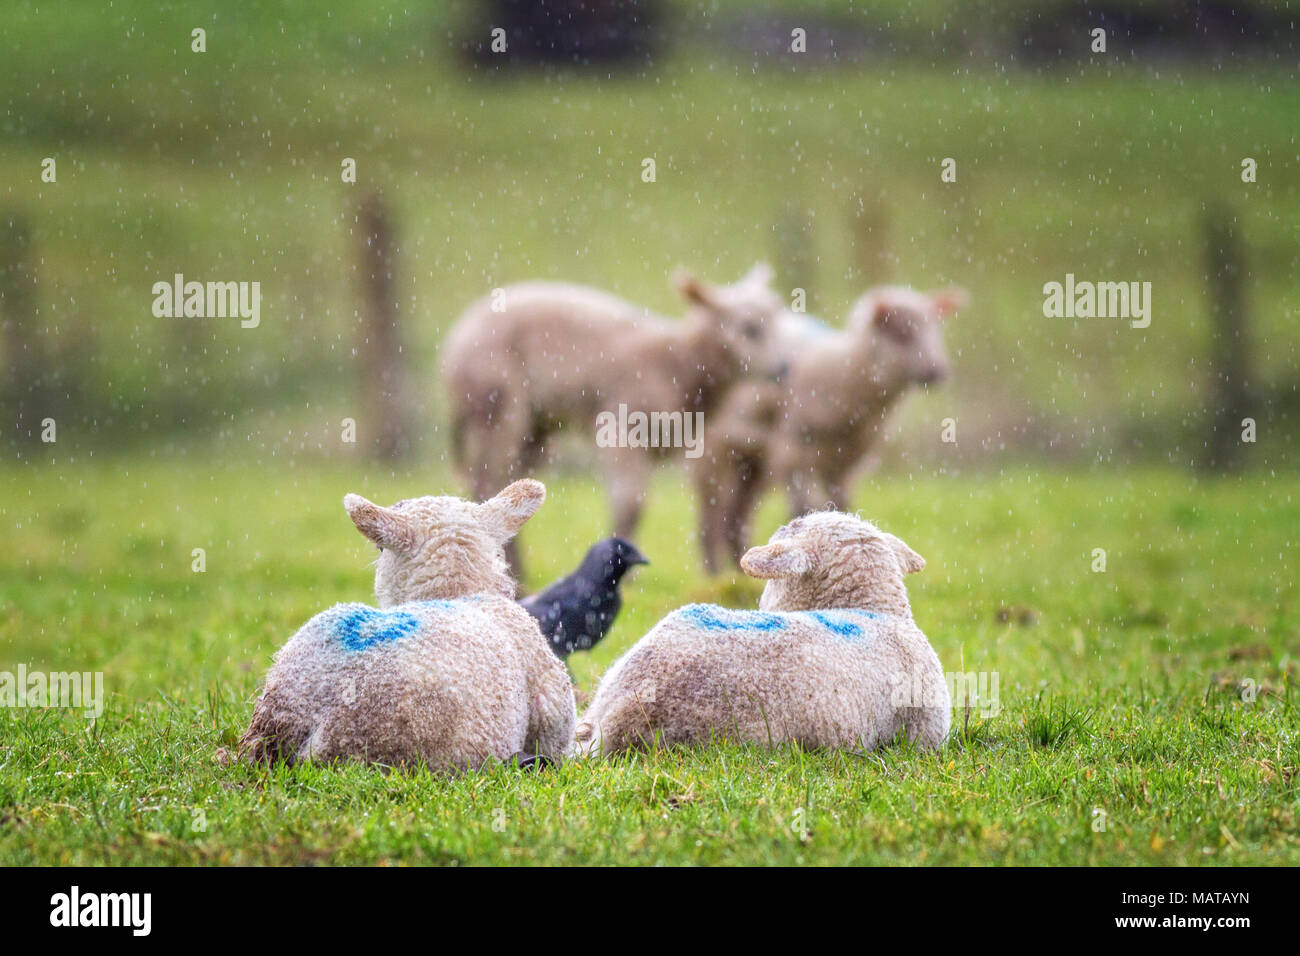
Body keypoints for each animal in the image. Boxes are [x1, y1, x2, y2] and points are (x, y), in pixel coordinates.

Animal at [441, 265, 785, 572]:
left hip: (534, 426)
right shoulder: (622, 422)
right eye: (749, 328)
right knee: (488, 479)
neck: (678, 363)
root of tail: (456, 340)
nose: (782, 368)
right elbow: (630, 503)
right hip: (496, 401)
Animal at [691, 282, 967, 567]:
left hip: (753, 461)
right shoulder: (794, 449)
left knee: (736, 514)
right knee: (710, 518)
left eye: (936, 329)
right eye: (902, 332)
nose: (937, 372)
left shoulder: (848, 460)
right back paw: (715, 572)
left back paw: (739, 568)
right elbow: (803, 509)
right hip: (714, 452)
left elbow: (842, 506)